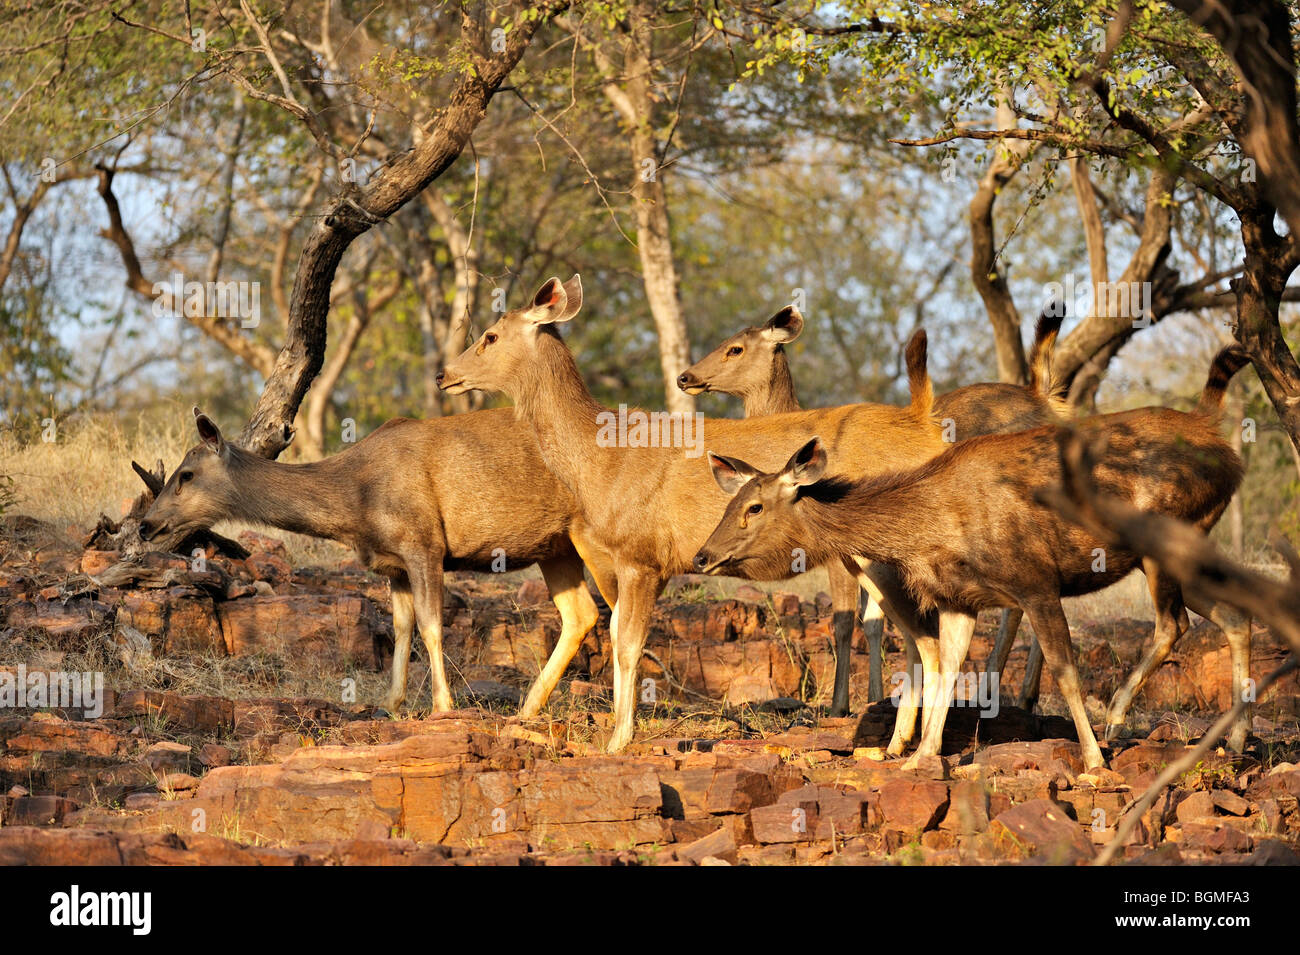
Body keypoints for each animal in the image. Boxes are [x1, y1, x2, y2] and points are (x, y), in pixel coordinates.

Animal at [137, 407, 613, 717]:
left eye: (186, 475)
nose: (145, 525)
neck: (356, 505)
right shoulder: (392, 563)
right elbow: (402, 626)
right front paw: (392, 703)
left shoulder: (424, 544)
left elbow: (431, 625)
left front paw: (443, 705)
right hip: (556, 547)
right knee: (581, 614)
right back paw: (530, 708)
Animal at [436, 276, 956, 753]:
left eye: (490, 336)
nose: (444, 374)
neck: (601, 458)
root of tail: (927, 428)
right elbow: (616, 633)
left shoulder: (642, 557)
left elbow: (627, 645)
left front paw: (619, 739)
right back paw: (897, 742)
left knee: (924, 634)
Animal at [681, 302, 1066, 712]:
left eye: (735, 348)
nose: (685, 377)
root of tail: (1044, 401)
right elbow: (876, 620)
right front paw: (876, 696)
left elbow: (851, 622)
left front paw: (843, 704)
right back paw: (1021, 696)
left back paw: (997, 695)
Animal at [696, 343, 1253, 769]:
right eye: (731, 499)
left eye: (754, 506)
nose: (703, 556)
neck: (929, 523)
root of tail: (1221, 444)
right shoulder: (958, 601)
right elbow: (946, 667)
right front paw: (922, 756)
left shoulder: (1035, 583)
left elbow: (1064, 670)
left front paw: (1093, 761)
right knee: (1235, 616)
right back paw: (1236, 741)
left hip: (1167, 547)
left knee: (1173, 624)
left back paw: (1116, 721)